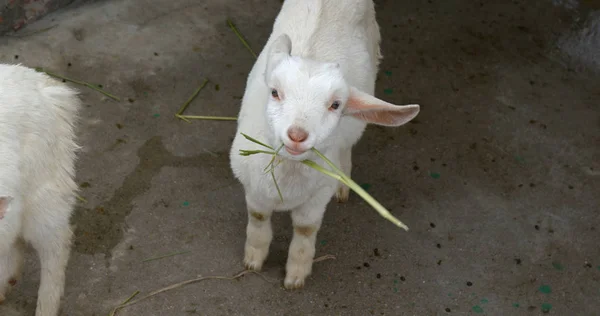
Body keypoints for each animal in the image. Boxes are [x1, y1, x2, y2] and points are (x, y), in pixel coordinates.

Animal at [229, 0, 418, 288]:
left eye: (335, 105)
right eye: (275, 92)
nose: (297, 135)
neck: (287, 180)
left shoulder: (317, 197)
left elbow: (306, 230)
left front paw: (296, 275)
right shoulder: (253, 188)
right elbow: (258, 219)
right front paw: (253, 260)